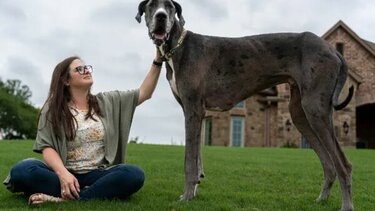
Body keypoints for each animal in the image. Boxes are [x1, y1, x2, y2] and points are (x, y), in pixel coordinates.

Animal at [137, 0, 354, 210]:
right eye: (151, 5)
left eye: (170, 6)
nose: (161, 17)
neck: (177, 46)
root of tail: (333, 50)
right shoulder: (196, 113)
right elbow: (197, 157)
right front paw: (194, 191)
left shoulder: (193, 110)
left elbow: (189, 161)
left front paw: (187, 197)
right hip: (300, 114)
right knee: (329, 165)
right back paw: (322, 199)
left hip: (315, 110)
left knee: (343, 165)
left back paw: (346, 205)